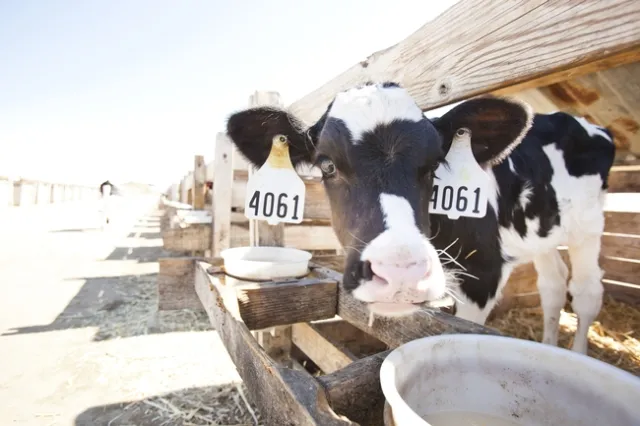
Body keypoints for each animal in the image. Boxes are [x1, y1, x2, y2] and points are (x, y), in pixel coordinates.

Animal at [225, 81, 615, 354]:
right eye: (327, 165)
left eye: (435, 163)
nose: (401, 272)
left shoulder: (483, 274)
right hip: (544, 233)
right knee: (553, 285)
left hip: (588, 227)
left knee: (586, 292)